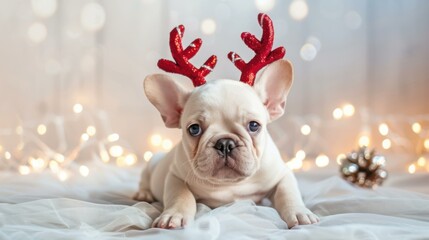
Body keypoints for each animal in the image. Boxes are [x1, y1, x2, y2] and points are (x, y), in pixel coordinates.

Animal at [134, 14, 318, 230]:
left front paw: (299, 213)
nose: (225, 143)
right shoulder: (175, 177)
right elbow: (181, 195)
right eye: (194, 129)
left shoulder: (282, 175)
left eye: (254, 125)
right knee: (144, 181)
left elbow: (288, 193)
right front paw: (174, 216)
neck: (230, 184)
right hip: (151, 163)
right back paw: (143, 193)